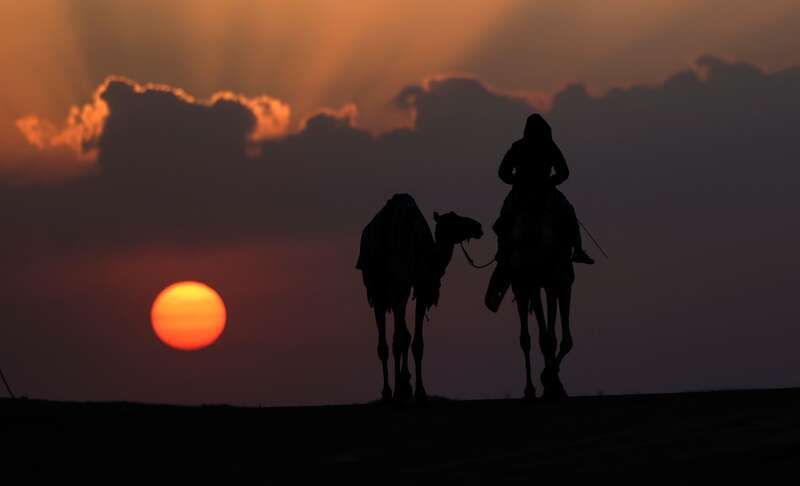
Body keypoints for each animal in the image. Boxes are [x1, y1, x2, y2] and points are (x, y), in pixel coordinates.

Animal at [356, 194, 482, 402]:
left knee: (393, 338)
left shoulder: (415, 289)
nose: (478, 226)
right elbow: (408, 339)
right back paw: (392, 390)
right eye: (454, 220)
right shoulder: (414, 286)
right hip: (387, 287)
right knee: (393, 338)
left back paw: (394, 388)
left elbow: (415, 341)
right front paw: (410, 389)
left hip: (387, 290)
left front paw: (414, 387)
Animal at [506, 192, 576, 400]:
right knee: (538, 336)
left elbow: (552, 336)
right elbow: (558, 338)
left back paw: (532, 388)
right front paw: (551, 381)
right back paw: (538, 385)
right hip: (536, 283)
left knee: (528, 336)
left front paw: (551, 381)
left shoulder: (545, 283)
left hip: (526, 284)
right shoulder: (557, 283)